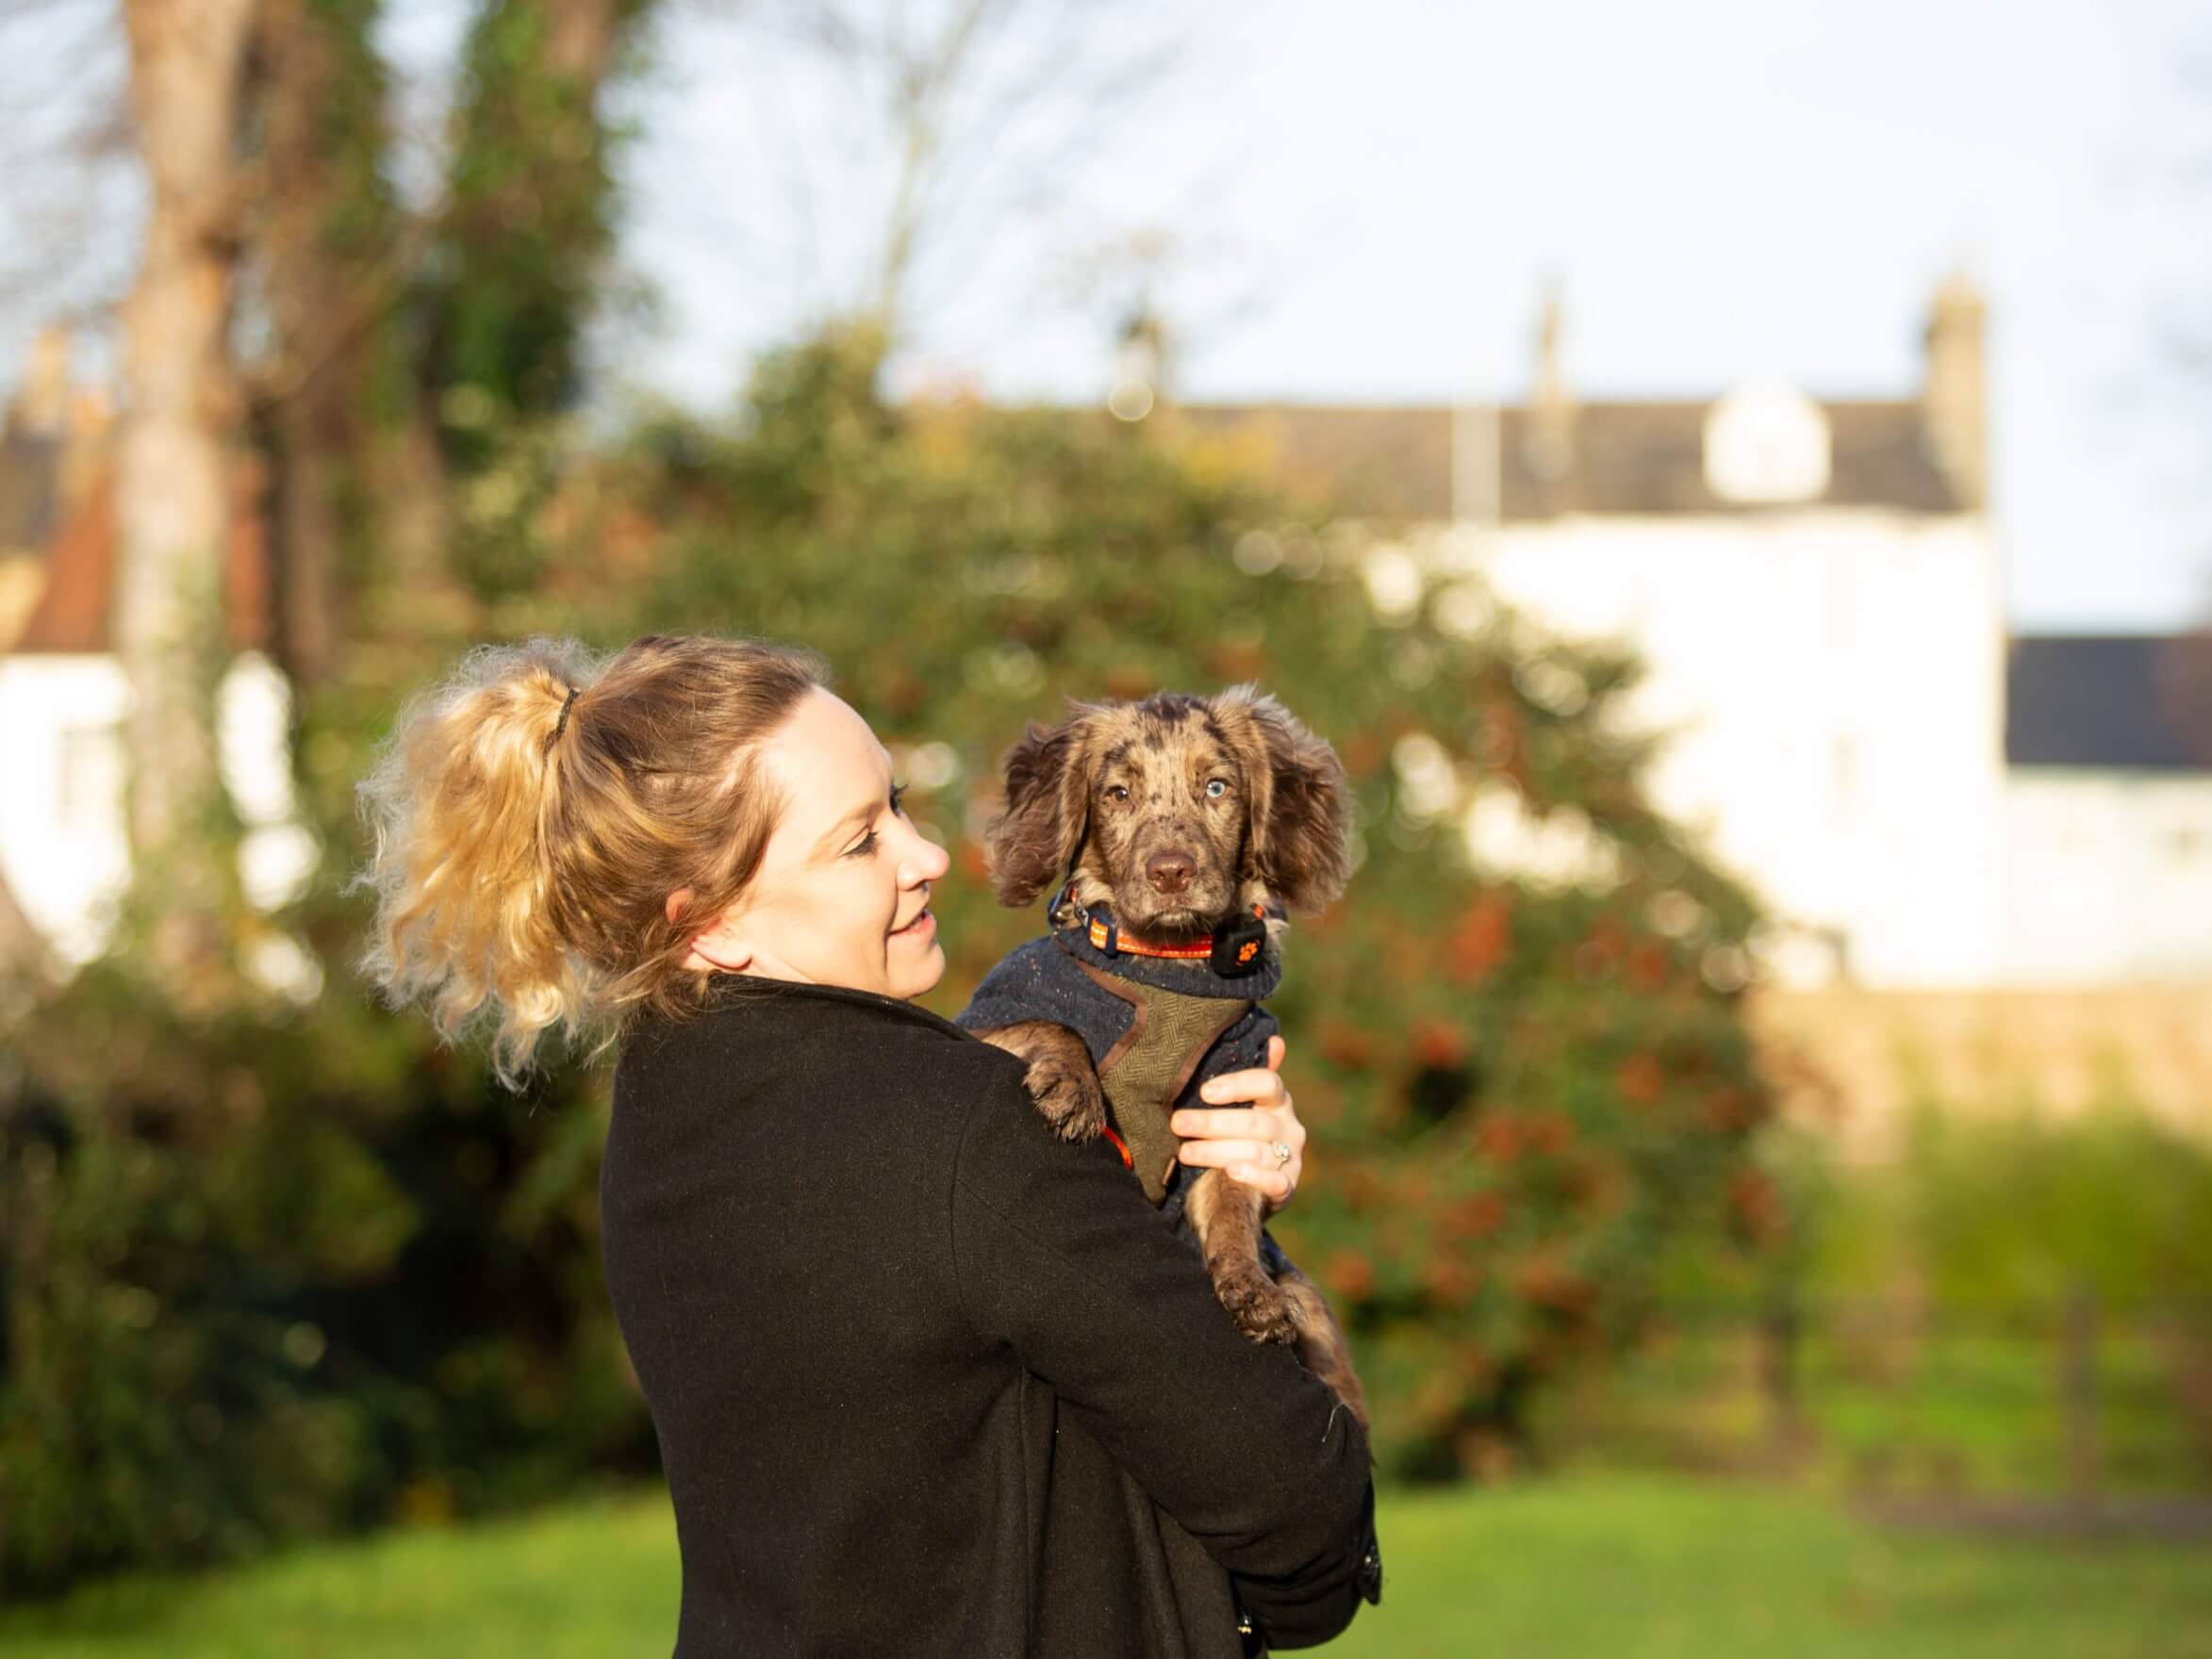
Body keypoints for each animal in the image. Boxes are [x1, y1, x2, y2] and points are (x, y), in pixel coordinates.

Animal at [955, 690, 1362, 1433]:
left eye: (1217, 788)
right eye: (1118, 794)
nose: (1170, 873)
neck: (1166, 966)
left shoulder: (1227, 1105)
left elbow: (1231, 1211)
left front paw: (1251, 1293)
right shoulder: (990, 1016)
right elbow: (1051, 1022)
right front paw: (1074, 1088)